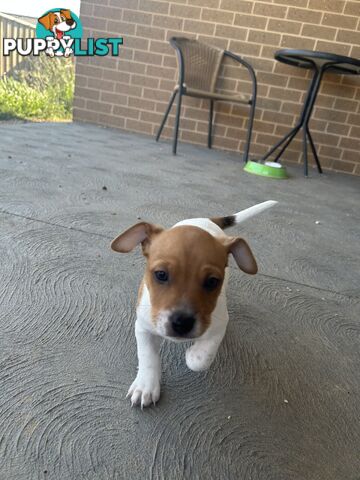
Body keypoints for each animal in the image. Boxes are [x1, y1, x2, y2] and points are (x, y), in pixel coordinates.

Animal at [111, 201, 278, 406]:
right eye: (161, 274)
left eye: (212, 282)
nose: (182, 323)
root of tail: (206, 220)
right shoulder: (143, 326)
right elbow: (147, 356)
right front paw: (146, 386)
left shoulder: (219, 325)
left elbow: (201, 359)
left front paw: (192, 354)